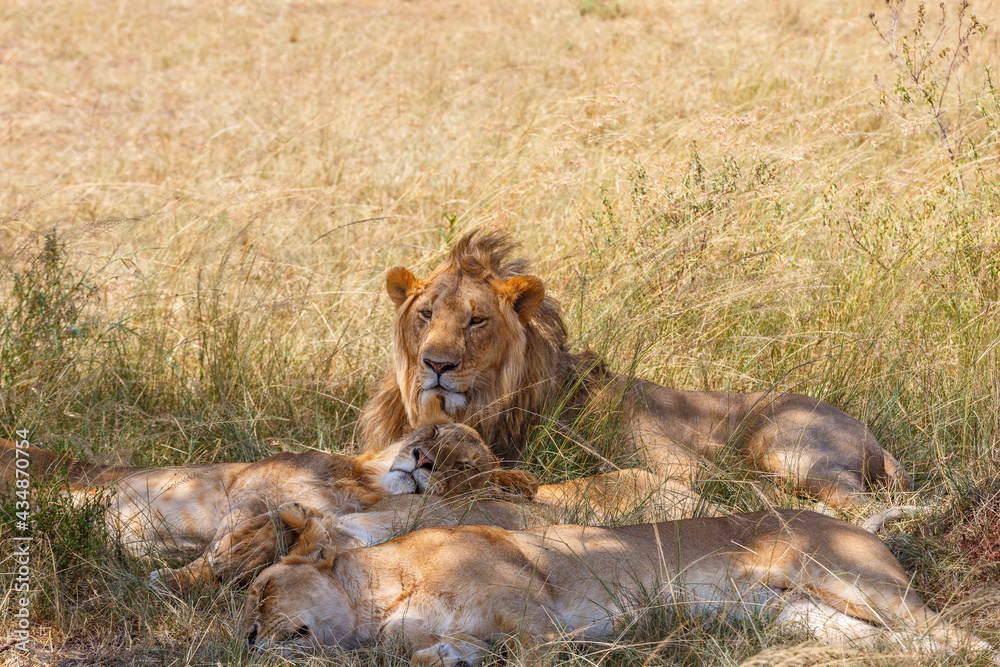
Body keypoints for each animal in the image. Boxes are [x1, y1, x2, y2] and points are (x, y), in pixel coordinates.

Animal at [359, 228, 913, 508]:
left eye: (476, 320)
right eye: (426, 314)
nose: (436, 364)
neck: (485, 408)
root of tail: (875, 439)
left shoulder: (680, 464)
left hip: (784, 445)